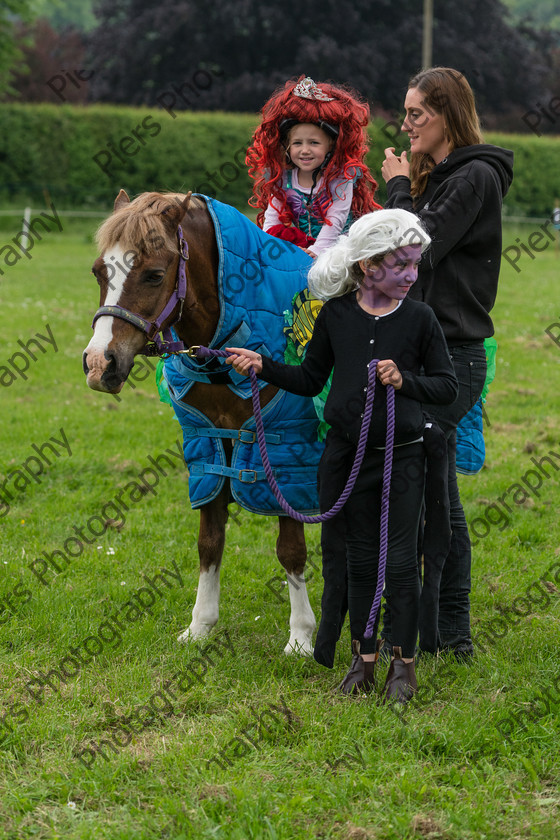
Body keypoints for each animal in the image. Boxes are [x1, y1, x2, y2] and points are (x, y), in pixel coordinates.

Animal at [81, 190, 322, 656]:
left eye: (155, 275)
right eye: (99, 271)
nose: (100, 364)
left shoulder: (286, 451)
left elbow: (291, 548)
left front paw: (301, 636)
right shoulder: (210, 442)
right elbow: (209, 541)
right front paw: (201, 625)